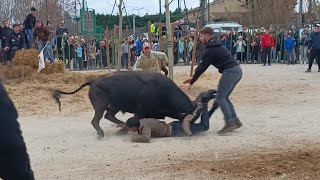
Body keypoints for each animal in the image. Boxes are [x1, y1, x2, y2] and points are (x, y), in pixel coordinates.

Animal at [52, 71, 216, 139]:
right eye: (194, 115)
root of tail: (93, 81)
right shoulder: (141, 112)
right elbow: (134, 120)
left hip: (114, 106)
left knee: (109, 116)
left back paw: (119, 127)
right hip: (100, 106)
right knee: (96, 120)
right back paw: (101, 134)